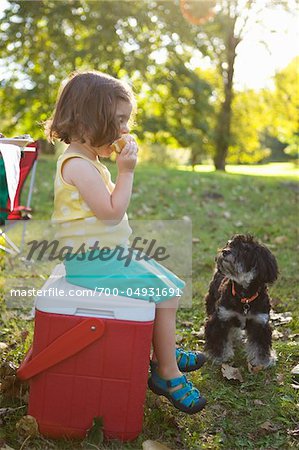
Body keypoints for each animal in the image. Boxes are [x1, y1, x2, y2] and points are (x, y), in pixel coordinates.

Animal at [206, 234, 278, 368]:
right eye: (229, 243)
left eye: (245, 249)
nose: (224, 251)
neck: (244, 297)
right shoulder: (220, 318)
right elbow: (218, 339)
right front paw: (219, 356)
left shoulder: (260, 323)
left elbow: (260, 346)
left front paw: (262, 361)